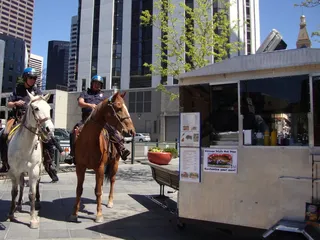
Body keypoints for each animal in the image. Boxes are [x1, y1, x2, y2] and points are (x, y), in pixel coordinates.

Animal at [6, 91, 55, 229]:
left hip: (39, 168)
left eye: (49, 109)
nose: (50, 129)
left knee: (37, 184)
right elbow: (14, 191)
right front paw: (11, 214)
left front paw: (33, 219)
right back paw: (18, 205)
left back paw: (37, 202)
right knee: (22, 185)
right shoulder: (14, 171)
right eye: (36, 108)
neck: (25, 146)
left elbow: (32, 193)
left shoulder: (33, 170)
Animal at [69, 92, 135, 223]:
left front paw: (99, 215)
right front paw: (74, 213)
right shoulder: (80, 167)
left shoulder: (99, 167)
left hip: (114, 163)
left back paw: (110, 202)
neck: (88, 140)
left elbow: (98, 191)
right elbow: (79, 189)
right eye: (118, 107)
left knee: (112, 180)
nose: (132, 131)